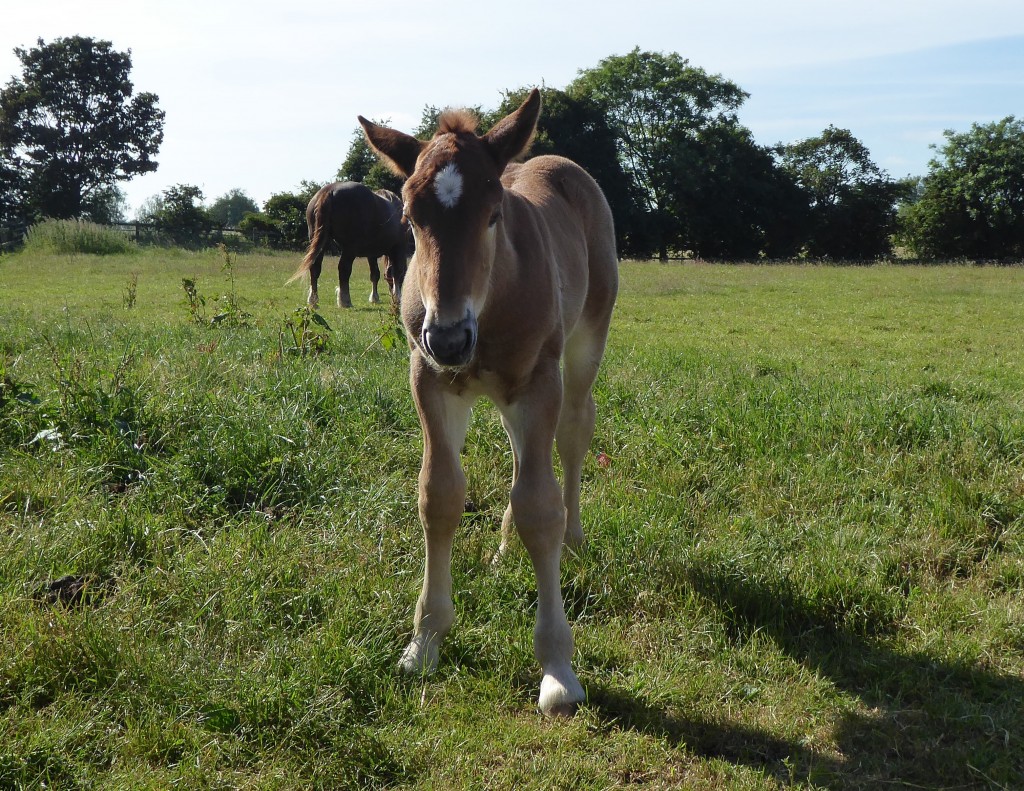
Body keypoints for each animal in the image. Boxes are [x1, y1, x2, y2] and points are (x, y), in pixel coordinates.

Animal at [360, 88, 614, 717]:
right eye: (409, 218)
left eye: (494, 214)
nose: (450, 337)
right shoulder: (429, 379)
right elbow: (440, 495)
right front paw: (424, 642)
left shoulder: (538, 382)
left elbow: (540, 508)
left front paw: (558, 670)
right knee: (523, 459)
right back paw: (502, 549)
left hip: (586, 340)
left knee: (573, 434)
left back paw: (574, 537)